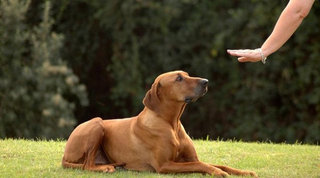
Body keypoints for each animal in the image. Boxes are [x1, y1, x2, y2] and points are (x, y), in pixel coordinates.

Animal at [62, 70, 258, 177]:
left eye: (187, 75)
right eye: (179, 78)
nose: (206, 81)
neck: (172, 123)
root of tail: (64, 155)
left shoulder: (190, 158)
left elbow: (217, 164)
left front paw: (244, 172)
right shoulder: (164, 165)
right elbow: (201, 165)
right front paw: (218, 173)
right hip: (97, 123)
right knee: (87, 165)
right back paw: (105, 168)